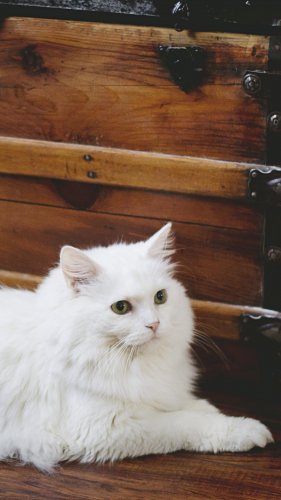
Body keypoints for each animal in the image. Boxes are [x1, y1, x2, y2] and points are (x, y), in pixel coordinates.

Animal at [0, 225, 272, 470]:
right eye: (120, 307)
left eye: (160, 297)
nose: (154, 324)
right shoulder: (107, 428)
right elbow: (185, 422)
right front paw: (245, 430)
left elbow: (182, 404)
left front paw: (208, 408)